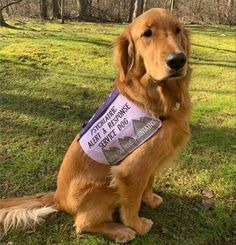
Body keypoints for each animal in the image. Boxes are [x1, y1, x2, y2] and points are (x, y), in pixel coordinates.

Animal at [0, 8, 191, 243]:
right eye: (147, 33)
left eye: (177, 30)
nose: (178, 60)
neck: (156, 96)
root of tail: (58, 196)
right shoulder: (131, 170)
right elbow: (132, 206)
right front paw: (138, 225)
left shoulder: (152, 160)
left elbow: (149, 183)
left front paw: (151, 199)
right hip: (104, 186)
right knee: (83, 224)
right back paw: (119, 230)